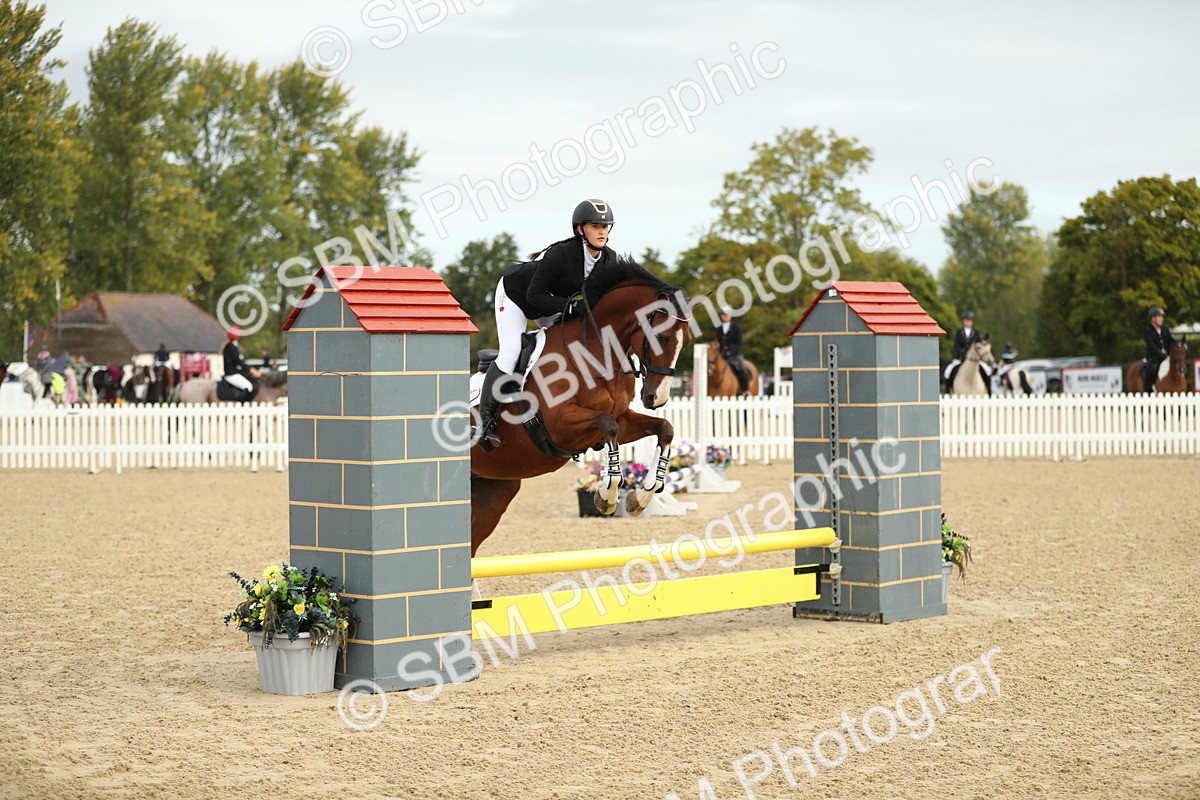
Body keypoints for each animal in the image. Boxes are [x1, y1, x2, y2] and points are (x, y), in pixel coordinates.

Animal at [470, 266, 703, 556]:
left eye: (687, 341)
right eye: (660, 336)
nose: (656, 398)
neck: (595, 351)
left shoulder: (622, 421)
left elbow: (664, 428)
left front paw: (641, 496)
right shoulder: (559, 426)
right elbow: (607, 425)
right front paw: (607, 496)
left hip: (493, 490)